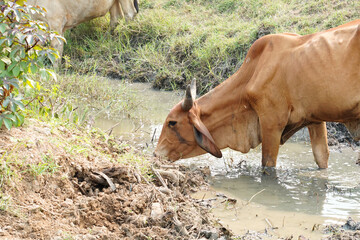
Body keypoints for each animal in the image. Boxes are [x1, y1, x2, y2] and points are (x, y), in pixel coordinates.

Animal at [153, 20, 360, 169]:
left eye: (172, 122)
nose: (155, 155)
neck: (253, 72)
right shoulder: (315, 119)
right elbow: (322, 157)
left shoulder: (272, 123)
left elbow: (268, 164)